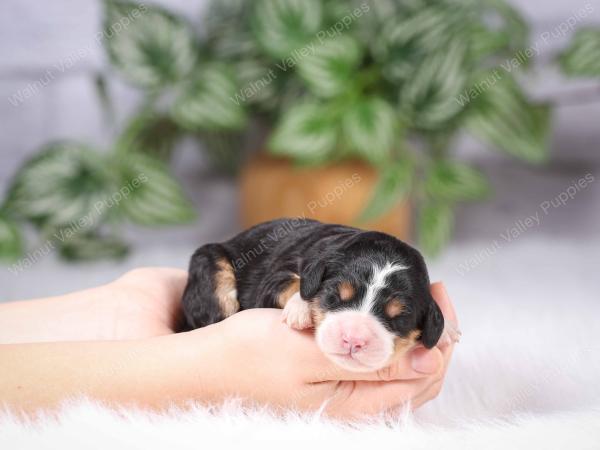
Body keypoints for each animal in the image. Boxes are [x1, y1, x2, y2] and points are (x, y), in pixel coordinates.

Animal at [180, 216, 458, 370]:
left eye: (398, 318)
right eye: (335, 296)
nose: (353, 339)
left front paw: (445, 330)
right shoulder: (274, 279)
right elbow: (294, 282)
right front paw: (300, 307)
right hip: (211, 264)